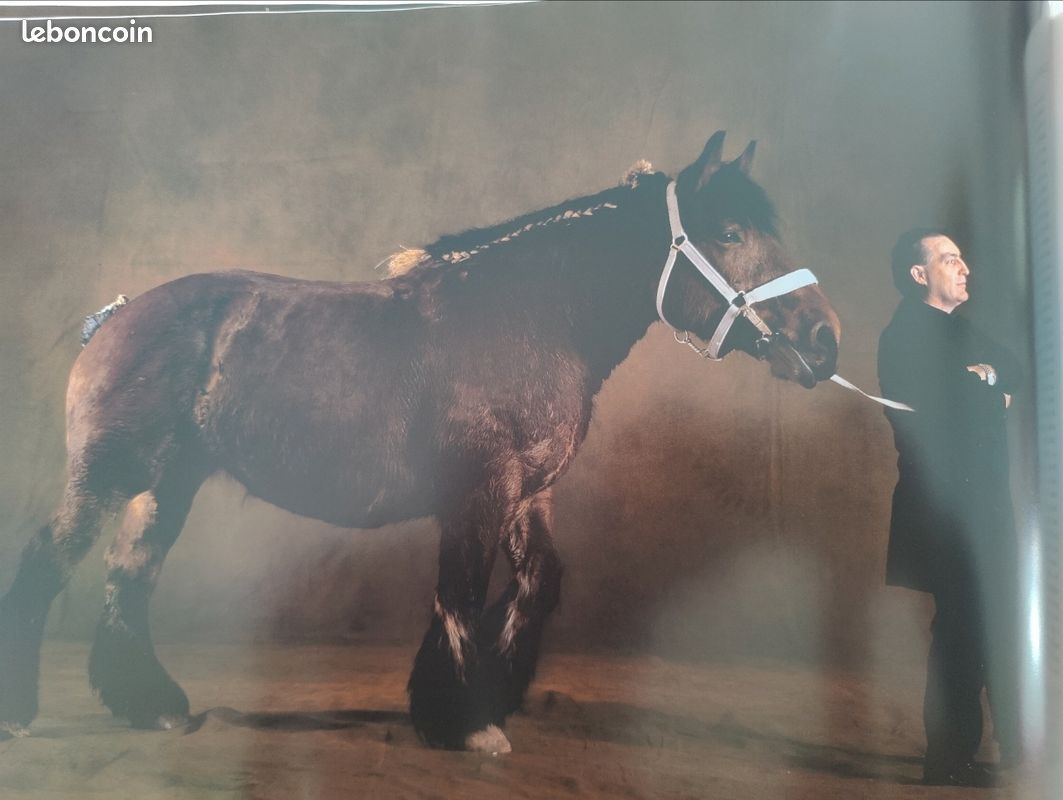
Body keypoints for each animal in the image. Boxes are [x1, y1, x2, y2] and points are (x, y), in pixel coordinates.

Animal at [0, 131, 840, 753]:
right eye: (729, 233)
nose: (824, 340)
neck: (531, 316)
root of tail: (117, 316)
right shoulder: (480, 488)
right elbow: (460, 590)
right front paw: (466, 723)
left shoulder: (530, 494)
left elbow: (536, 584)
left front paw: (488, 695)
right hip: (106, 476)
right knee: (47, 564)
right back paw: (23, 716)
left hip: (165, 484)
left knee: (129, 578)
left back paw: (153, 706)